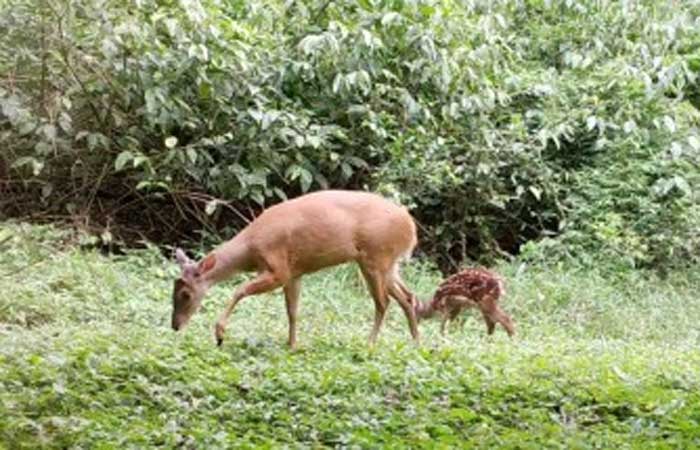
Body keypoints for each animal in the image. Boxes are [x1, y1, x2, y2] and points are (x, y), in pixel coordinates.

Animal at [172, 189, 418, 348]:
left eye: (185, 294)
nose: (175, 326)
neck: (250, 249)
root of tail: (411, 226)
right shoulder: (294, 273)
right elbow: (292, 310)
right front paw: (291, 344)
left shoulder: (279, 269)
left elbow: (239, 290)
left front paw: (219, 334)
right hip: (386, 263)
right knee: (407, 296)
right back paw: (416, 341)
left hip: (375, 257)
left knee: (383, 302)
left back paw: (370, 343)